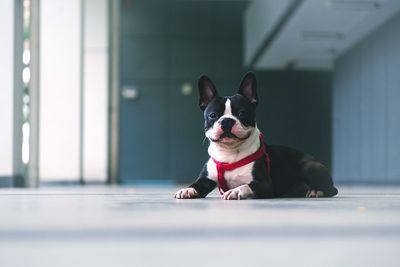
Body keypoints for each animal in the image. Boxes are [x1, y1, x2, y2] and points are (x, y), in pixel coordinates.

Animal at [175, 72, 338, 200]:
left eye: (242, 113)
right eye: (213, 115)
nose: (227, 121)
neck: (230, 153)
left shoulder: (264, 184)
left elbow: (246, 186)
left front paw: (235, 191)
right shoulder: (205, 179)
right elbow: (196, 184)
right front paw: (188, 189)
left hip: (309, 167)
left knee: (332, 189)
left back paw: (316, 191)